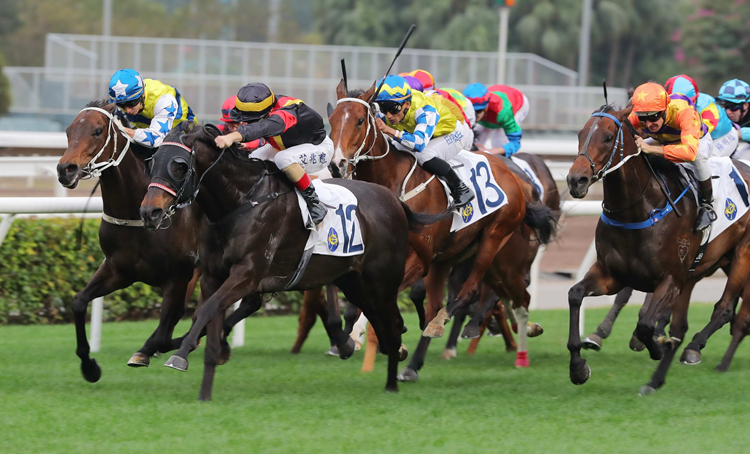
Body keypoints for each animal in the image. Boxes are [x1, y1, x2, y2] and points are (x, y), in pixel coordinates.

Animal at [56, 101, 206, 382]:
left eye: (97, 131)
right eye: (69, 131)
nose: (65, 170)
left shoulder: (178, 277)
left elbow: (164, 334)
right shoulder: (118, 270)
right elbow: (79, 301)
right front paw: (89, 367)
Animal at [140, 125, 444, 400]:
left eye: (179, 166)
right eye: (152, 162)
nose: (149, 212)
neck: (241, 201)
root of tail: (394, 201)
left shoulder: (246, 274)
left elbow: (205, 310)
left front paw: (179, 354)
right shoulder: (213, 275)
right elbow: (208, 317)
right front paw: (204, 390)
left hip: (382, 283)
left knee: (392, 324)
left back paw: (392, 380)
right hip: (355, 284)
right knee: (384, 325)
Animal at [328, 81, 560, 380]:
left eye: (359, 120)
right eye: (332, 121)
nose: (337, 164)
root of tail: (519, 180)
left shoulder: (420, 261)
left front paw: (365, 337)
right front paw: (361, 341)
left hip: (495, 242)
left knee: (470, 292)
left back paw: (444, 326)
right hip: (468, 261)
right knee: (515, 297)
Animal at [568, 103, 750, 394]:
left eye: (608, 137)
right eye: (580, 134)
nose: (576, 180)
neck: (640, 209)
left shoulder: (670, 279)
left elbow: (644, 324)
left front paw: (657, 345)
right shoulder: (612, 275)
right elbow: (575, 295)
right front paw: (578, 367)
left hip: (742, 256)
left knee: (723, 310)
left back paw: (694, 349)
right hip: (697, 270)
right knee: (682, 325)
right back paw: (656, 379)